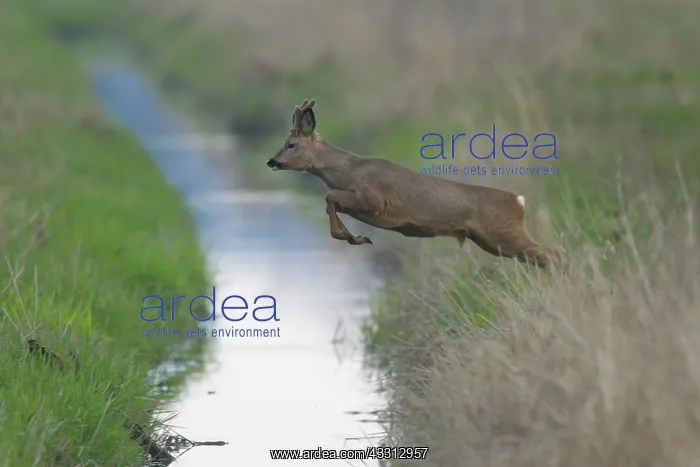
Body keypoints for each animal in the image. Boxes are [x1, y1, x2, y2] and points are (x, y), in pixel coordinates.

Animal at [266, 98, 563, 272]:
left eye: (290, 144)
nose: (271, 161)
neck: (350, 171)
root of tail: (519, 201)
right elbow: (331, 201)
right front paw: (355, 237)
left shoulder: (373, 200)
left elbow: (329, 197)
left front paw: (354, 237)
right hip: (489, 240)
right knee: (547, 254)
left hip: (501, 232)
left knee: (550, 253)